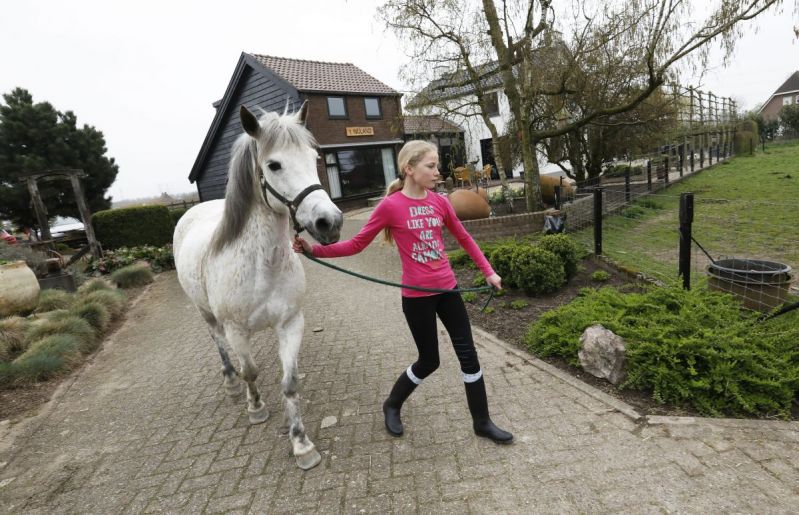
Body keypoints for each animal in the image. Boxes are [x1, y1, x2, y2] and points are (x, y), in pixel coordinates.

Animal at [175, 106, 344, 472]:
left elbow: (290, 384)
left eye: (314, 158)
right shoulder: (236, 330)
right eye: (274, 165)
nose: (330, 222)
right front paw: (256, 407)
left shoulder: (291, 324)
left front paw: (301, 443)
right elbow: (250, 371)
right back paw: (231, 383)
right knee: (220, 346)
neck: (260, 266)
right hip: (205, 314)